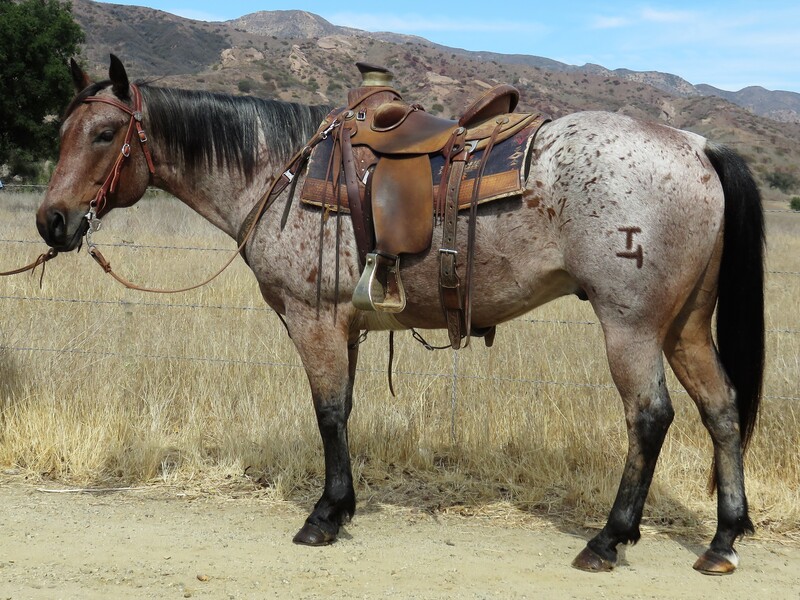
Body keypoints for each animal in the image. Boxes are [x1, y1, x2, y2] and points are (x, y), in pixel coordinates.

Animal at [34, 57, 764, 576]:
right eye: (61, 132)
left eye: (105, 134)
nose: (52, 221)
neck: (281, 174)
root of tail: (696, 146)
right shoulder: (347, 328)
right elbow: (344, 410)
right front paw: (342, 506)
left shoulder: (314, 321)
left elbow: (328, 412)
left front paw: (324, 516)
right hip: (684, 327)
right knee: (722, 408)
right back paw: (724, 539)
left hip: (631, 327)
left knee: (650, 417)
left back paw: (609, 539)